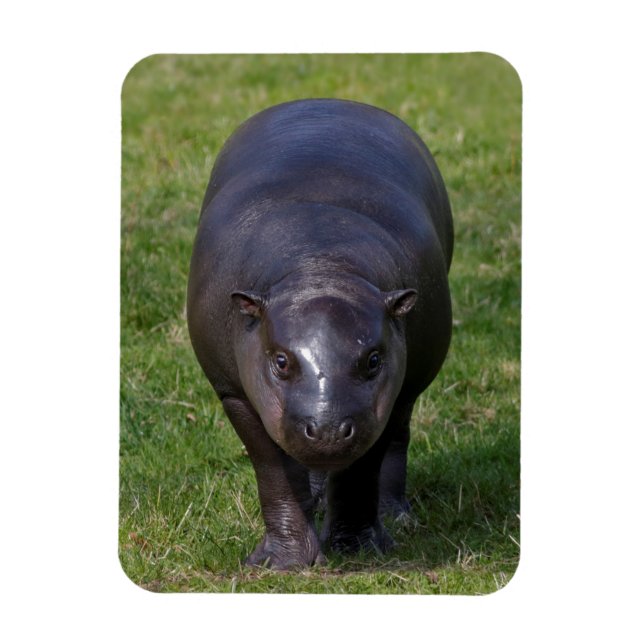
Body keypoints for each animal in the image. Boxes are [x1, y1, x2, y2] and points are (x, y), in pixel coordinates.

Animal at [187, 98, 453, 569]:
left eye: (373, 359)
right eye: (280, 360)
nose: (327, 430)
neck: (320, 263)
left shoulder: (385, 396)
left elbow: (362, 469)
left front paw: (358, 551)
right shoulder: (234, 392)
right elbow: (274, 473)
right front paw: (282, 564)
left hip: (406, 390)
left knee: (396, 441)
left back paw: (396, 518)